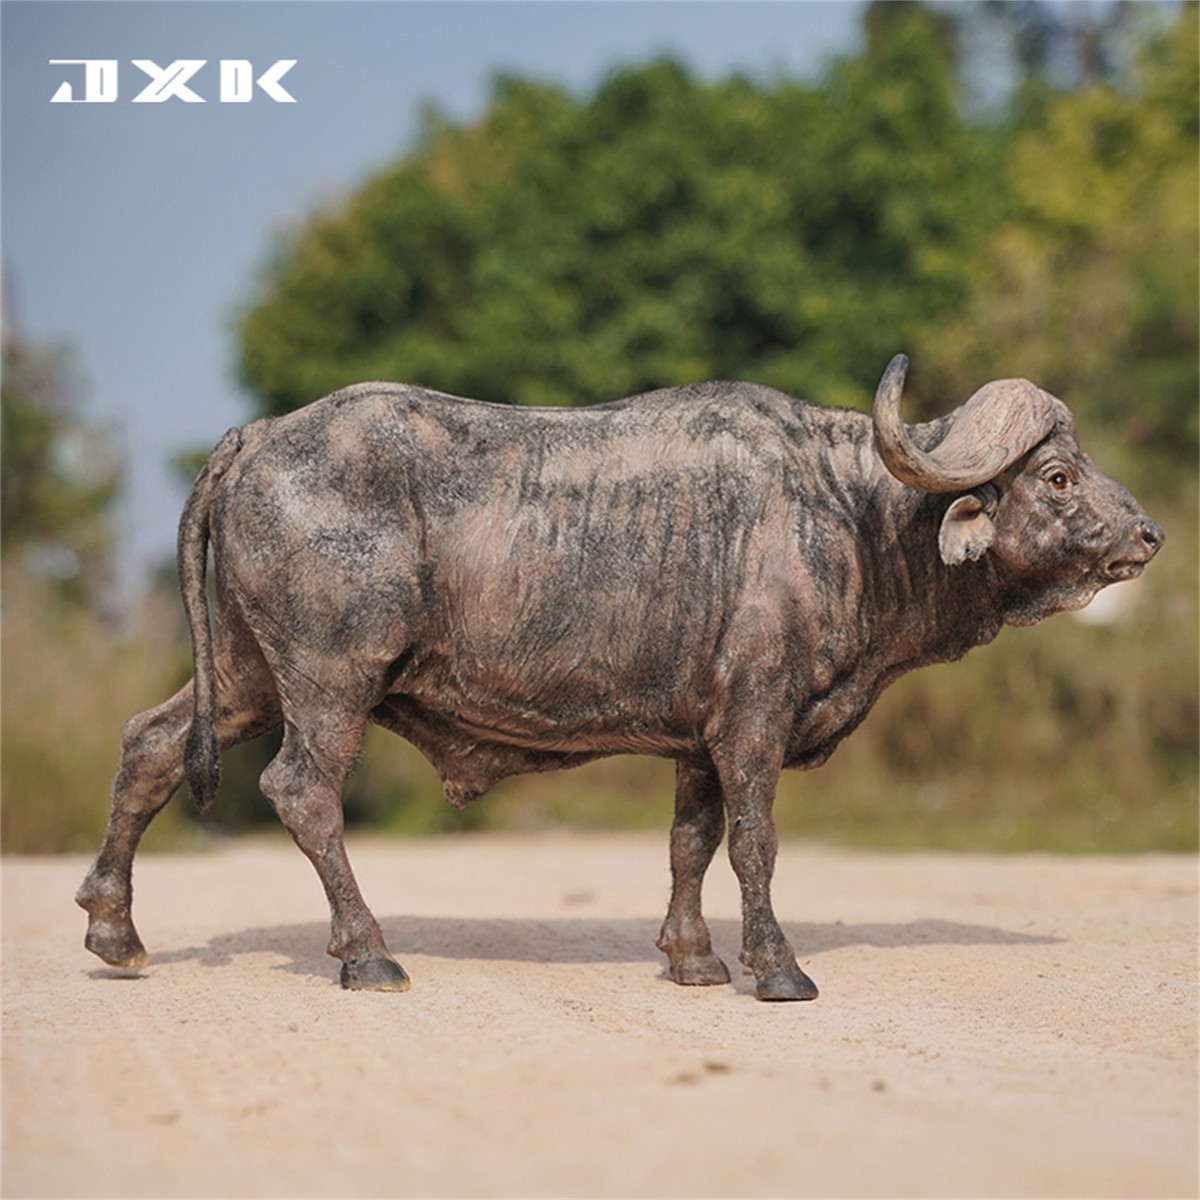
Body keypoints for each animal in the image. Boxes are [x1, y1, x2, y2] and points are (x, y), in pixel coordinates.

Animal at [77, 355, 1162, 1000]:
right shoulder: (755, 719)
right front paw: (775, 968)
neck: (853, 518)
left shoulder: (699, 739)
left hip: (244, 671)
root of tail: (257, 436)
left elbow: (690, 844)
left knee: (149, 745)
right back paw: (368, 950)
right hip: (330, 677)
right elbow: (755, 844)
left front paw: (692, 959)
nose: (1149, 533)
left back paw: (115, 930)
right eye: (1058, 477)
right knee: (301, 790)